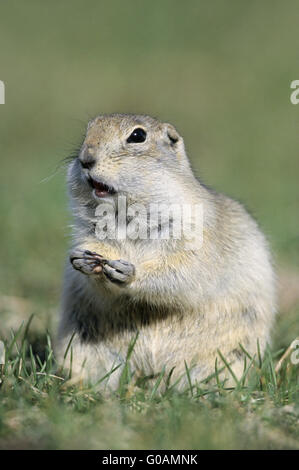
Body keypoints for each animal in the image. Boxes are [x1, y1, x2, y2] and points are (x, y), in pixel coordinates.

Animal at [57, 113, 278, 390]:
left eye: (138, 136)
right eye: (89, 129)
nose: (86, 158)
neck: (124, 214)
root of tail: (150, 376)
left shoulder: (196, 234)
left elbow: (183, 272)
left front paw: (128, 272)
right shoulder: (89, 233)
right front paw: (83, 260)